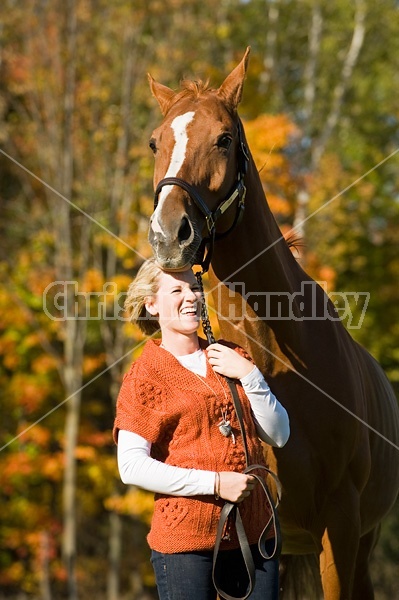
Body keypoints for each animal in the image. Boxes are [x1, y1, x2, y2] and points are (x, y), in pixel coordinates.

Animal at [147, 49, 399, 596]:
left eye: (224, 138)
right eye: (156, 142)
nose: (169, 234)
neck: (281, 356)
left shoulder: (340, 529)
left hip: (362, 543)